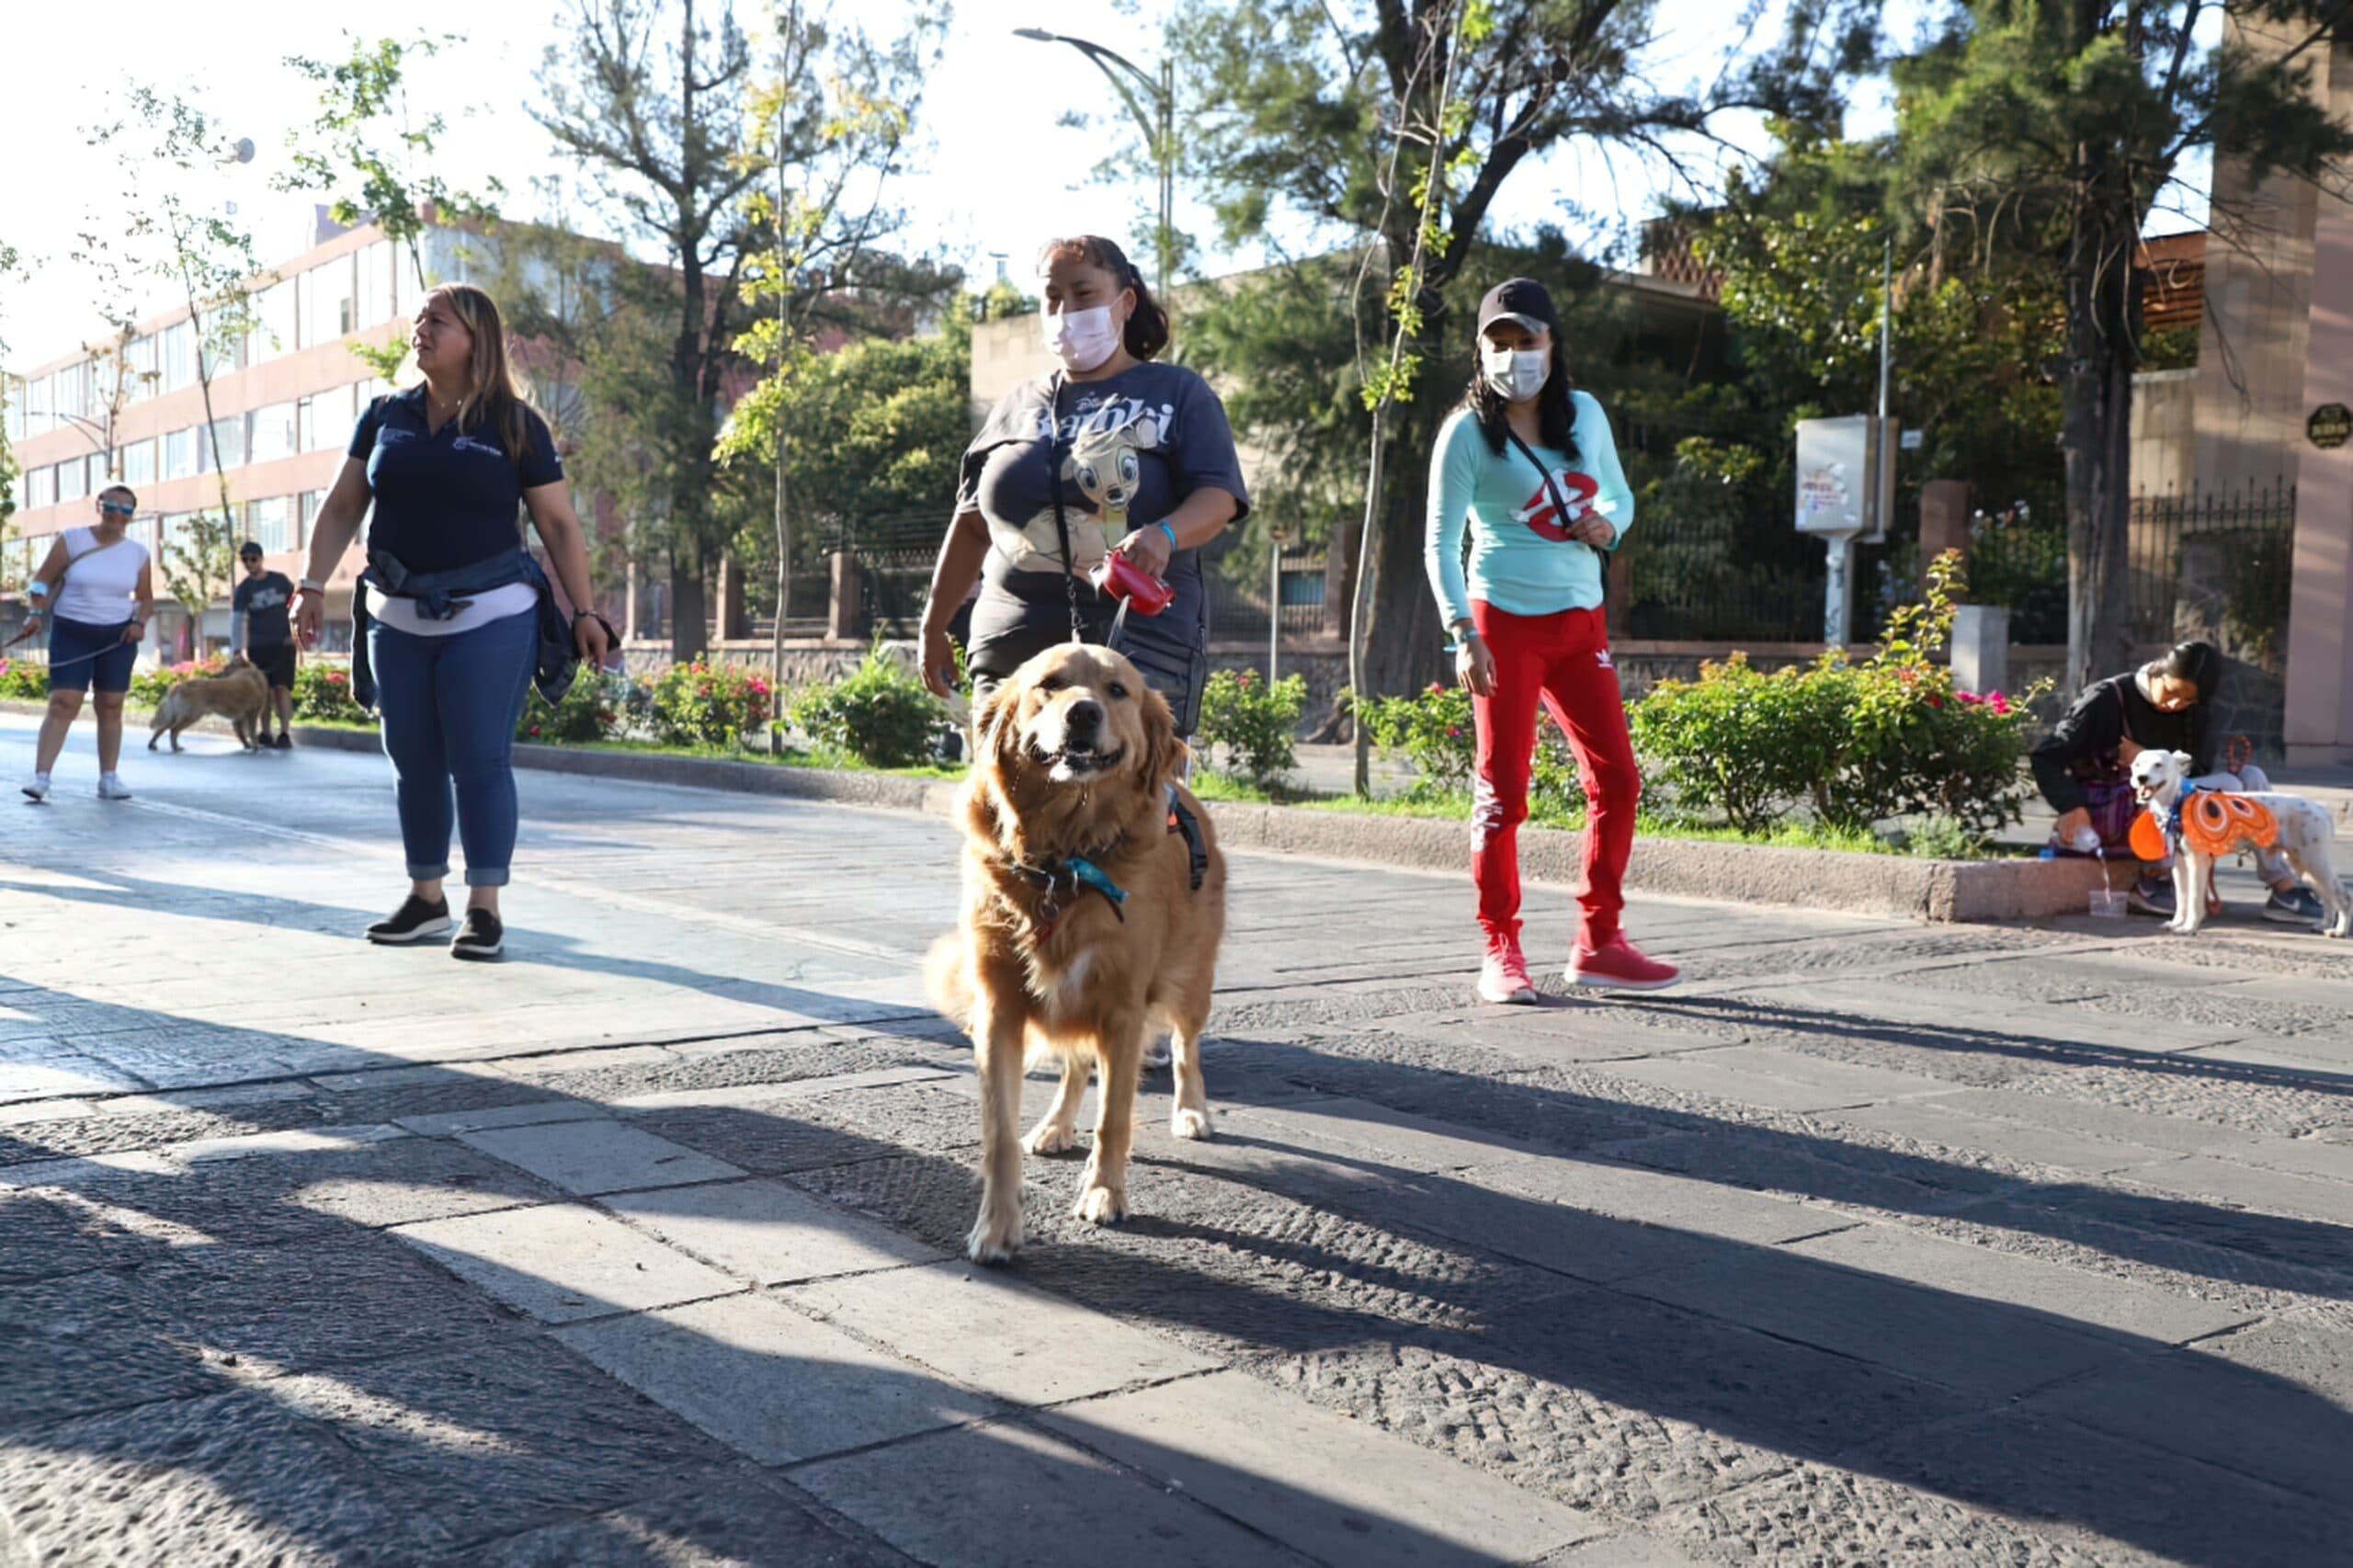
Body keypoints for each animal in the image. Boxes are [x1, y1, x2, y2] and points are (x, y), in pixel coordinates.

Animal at [149, 657, 271, 753]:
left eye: (227, 668)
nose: (217, 674)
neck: (248, 670)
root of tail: (179, 686)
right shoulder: (252, 714)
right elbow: (252, 733)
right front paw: (255, 746)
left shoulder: (240, 718)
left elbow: (242, 734)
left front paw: (247, 745)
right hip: (191, 716)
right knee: (173, 730)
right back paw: (175, 747)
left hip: (176, 716)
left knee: (162, 729)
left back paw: (152, 745)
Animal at [924, 642, 1228, 1264]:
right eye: (1050, 684)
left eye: (1117, 691)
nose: (1083, 712)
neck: (1064, 859)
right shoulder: (1001, 1009)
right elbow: (999, 1131)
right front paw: (997, 1226)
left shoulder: (1123, 1009)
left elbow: (1114, 1117)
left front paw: (1104, 1193)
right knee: (1077, 1065)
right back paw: (1056, 1126)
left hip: (1190, 980)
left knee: (1185, 1047)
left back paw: (1191, 1111)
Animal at [2131, 748, 2352, 938]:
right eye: (2137, 765)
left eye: (2158, 765)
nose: (2141, 778)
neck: (2179, 802)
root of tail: (2321, 809)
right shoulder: (2179, 864)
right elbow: (2182, 898)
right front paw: (2177, 923)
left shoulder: (2197, 863)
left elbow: (2193, 899)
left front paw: (2189, 927)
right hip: (2304, 867)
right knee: (2328, 897)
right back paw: (2324, 925)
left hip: (2315, 862)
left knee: (2342, 896)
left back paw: (2339, 931)